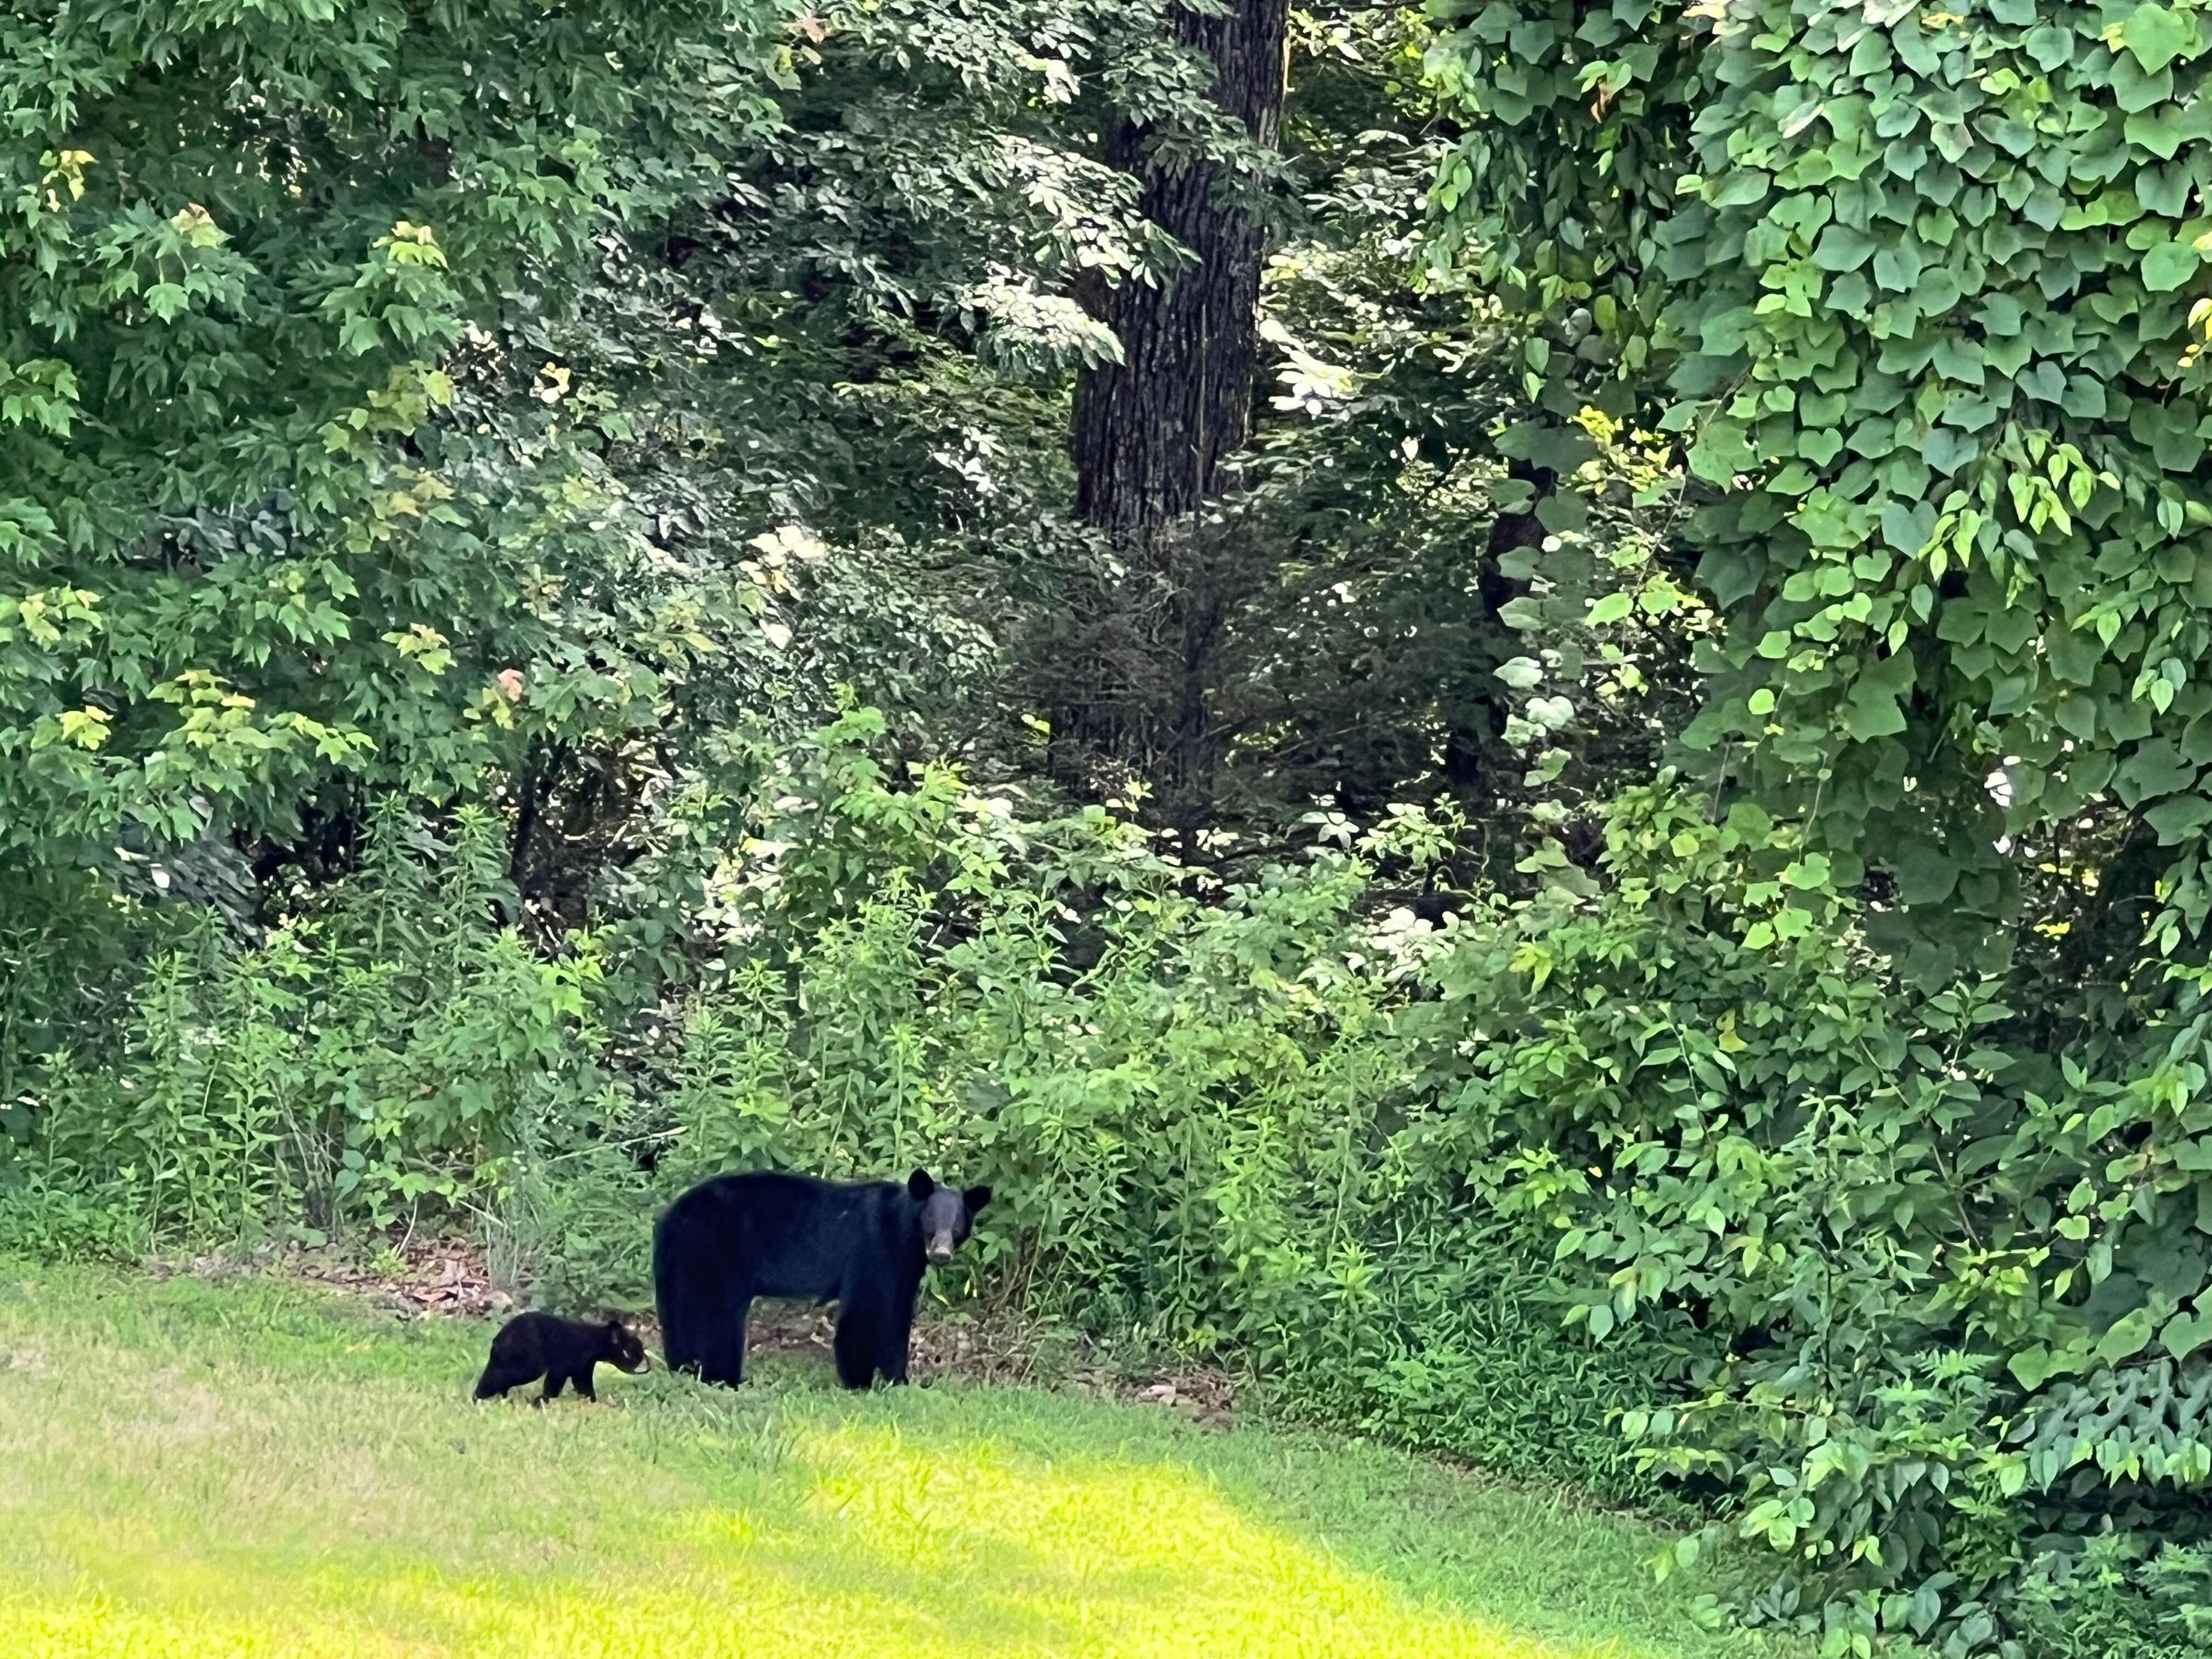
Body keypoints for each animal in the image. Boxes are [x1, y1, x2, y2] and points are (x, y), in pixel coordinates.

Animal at [474, 1311, 650, 1405]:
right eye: (630, 1351)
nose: (643, 1358)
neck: (593, 1342)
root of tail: (498, 1339)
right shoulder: (561, 1370)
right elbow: (552, 1389)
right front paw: (541, 1402)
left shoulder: (581, 1372)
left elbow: (586, 1391)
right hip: (527, 1369)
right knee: (493, 1380)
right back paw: (479, 1400)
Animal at [653, 1168, 991, 1390]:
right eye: (932, 1222)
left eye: (957, 1225)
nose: (942, 1254)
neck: (902, 1231)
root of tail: (670, 1217)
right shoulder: (872, 1249)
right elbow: (863, 1314)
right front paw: (860, 1381)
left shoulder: (904, 1268)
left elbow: (897, 1318)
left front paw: (899, 1380)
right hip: (718, 1253)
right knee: (719, 1318)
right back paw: (725, 1377)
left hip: (683, 1264)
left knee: (682, 1315)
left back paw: (684, 1367)